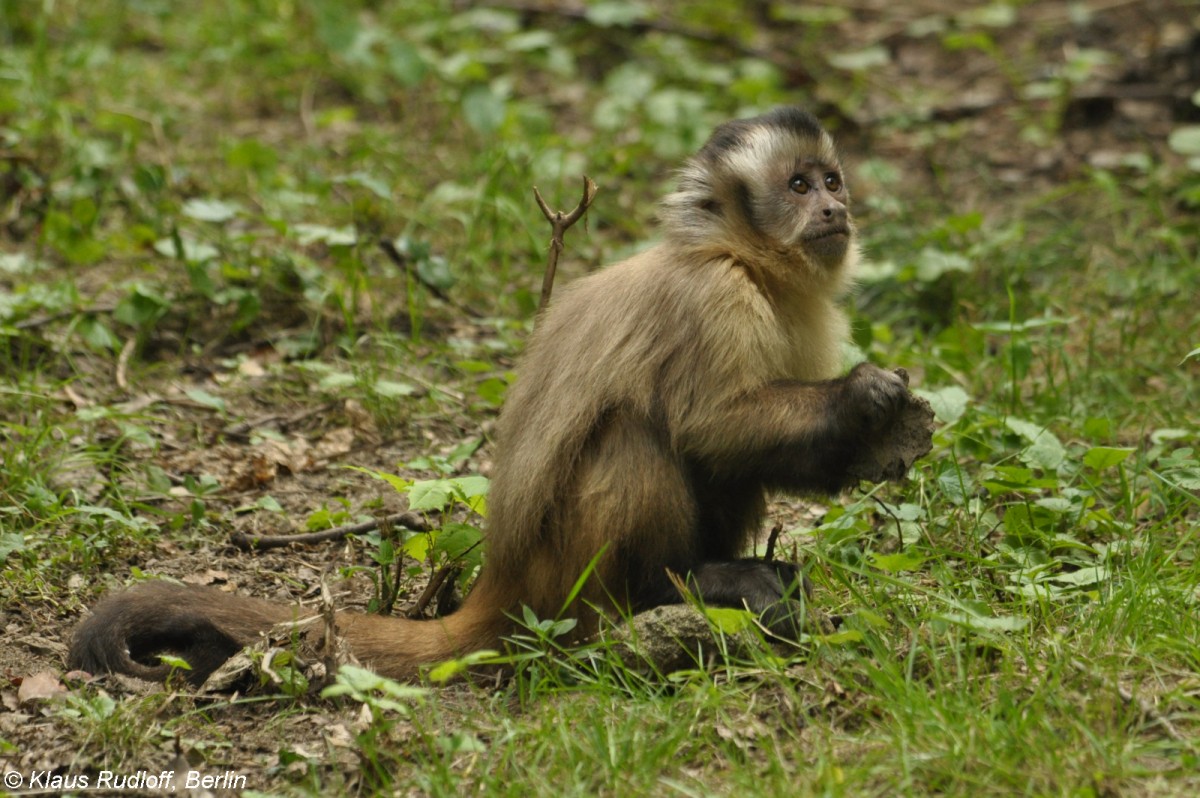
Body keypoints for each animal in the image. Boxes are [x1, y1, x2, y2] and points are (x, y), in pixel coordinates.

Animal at [68, 105, 907, 681]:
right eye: (796, 186)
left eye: (831, 181)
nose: (834, 209)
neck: (744, 260)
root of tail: (502, 584)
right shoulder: (716, 297)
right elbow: (710, 425)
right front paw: (859, 403)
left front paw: (873, 439)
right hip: (564, 578)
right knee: (638, 431)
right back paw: (664, 591)